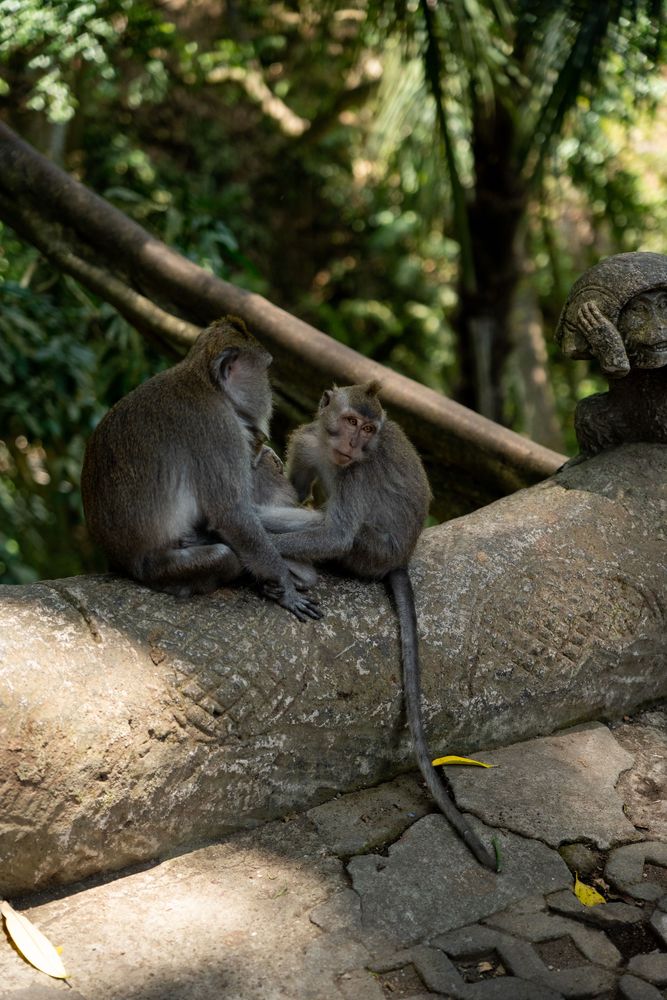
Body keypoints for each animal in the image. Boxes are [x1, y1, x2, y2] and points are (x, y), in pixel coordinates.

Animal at [81, 315, 322, 621]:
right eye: (265, 371)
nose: (271, 394)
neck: (206, 382)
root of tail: (123, 562)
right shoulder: (218, 428)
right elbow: (232, 515)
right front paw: (285, 587)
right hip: (164, 569)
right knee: (223, 556)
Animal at [267, 381, 497, 869]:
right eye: (352, 421)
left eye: (370, 430)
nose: (355, 444)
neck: (334, 453)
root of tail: (400, 559)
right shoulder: (306, 442)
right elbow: (295, 489)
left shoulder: (359, 476)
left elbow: (335, 533)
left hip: (371, 552)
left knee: (344, 535)